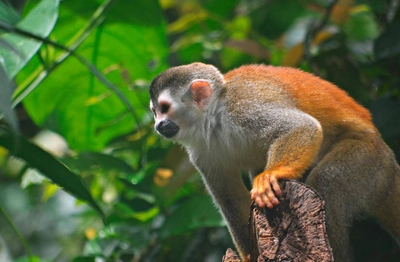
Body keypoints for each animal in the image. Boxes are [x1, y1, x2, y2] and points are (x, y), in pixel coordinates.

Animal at [149, 62, 400, 260]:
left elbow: (302, 127)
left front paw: (271, 176)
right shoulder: (201, 151)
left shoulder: (243, 106)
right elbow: (230, 199)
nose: (158, 125)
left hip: (370, 159)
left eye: (165, 108)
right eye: (155, 112)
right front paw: (248, 256)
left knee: (328, 181)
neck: (213, 118)